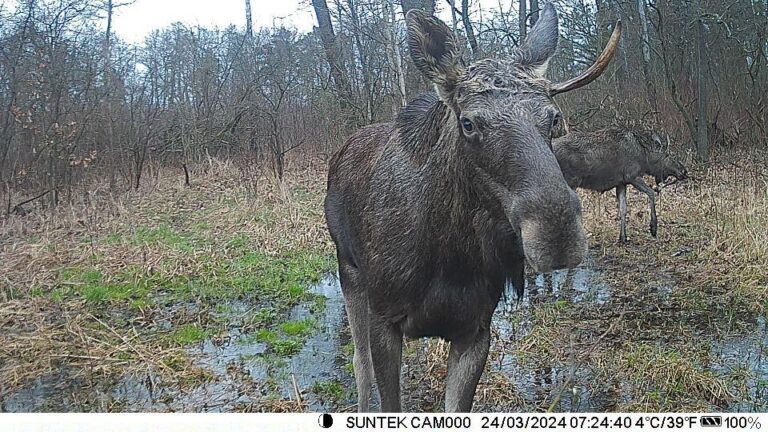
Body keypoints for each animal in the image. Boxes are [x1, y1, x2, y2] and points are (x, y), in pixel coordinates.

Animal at [320, 3, 620, 412]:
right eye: (468, 123)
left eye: (554, 118)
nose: (557, 233)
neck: (449, 256)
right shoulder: (385, 319)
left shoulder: (476, 330)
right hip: (349, 272)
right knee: (359, 363)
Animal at [552, 128, 688, 243]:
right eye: (670, 156)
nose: (684, 171)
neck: (645, 158)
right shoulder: (632, 176)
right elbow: (651, 193)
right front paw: (653, 228)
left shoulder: (621, 183)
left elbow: (623, 209)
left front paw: (623, 237)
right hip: (570, 181)